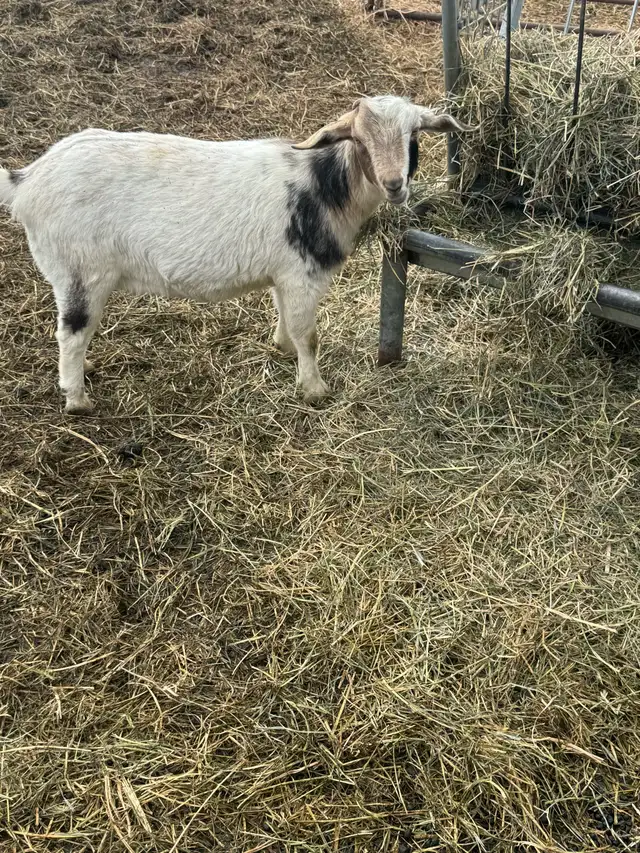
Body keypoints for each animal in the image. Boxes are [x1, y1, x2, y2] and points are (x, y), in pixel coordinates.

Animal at [0, 95, 470, 414]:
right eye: (360, 139)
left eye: (413, 136)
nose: (394, 185)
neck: (326, 187)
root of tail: (27, 182)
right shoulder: (302, 273)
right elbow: (309, 335)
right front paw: (315, 390)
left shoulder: (284, 272)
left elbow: (285, 317)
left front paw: (282, 347)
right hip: (82, 269)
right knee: (72, 331)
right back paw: (78, 399)